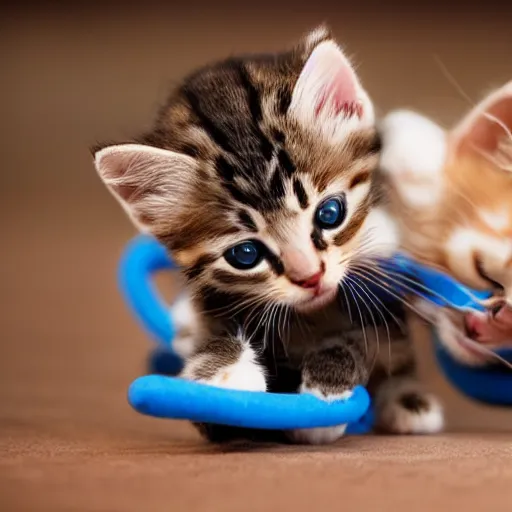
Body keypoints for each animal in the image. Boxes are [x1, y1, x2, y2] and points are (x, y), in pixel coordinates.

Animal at [94, 28, 442, 442]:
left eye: (330, 213)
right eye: (245, 254)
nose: (311, 277)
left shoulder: (382, 304)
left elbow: (363, 337)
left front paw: (327, 386)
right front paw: (222, 374)